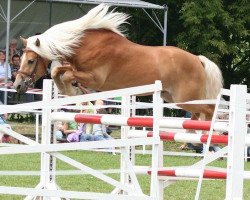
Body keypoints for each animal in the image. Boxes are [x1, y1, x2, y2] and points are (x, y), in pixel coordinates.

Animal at [13, 3, 223, 121]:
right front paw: (71, 91)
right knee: (199, 113)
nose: (17, 86)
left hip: (186, 98)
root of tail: (198, 60)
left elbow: (65, 74)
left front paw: (70, 91)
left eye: (30, 61)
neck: (83, 45)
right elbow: (60, 72)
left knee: (209, 109)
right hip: (172, 97)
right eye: (21, 59)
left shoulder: (96, 79)